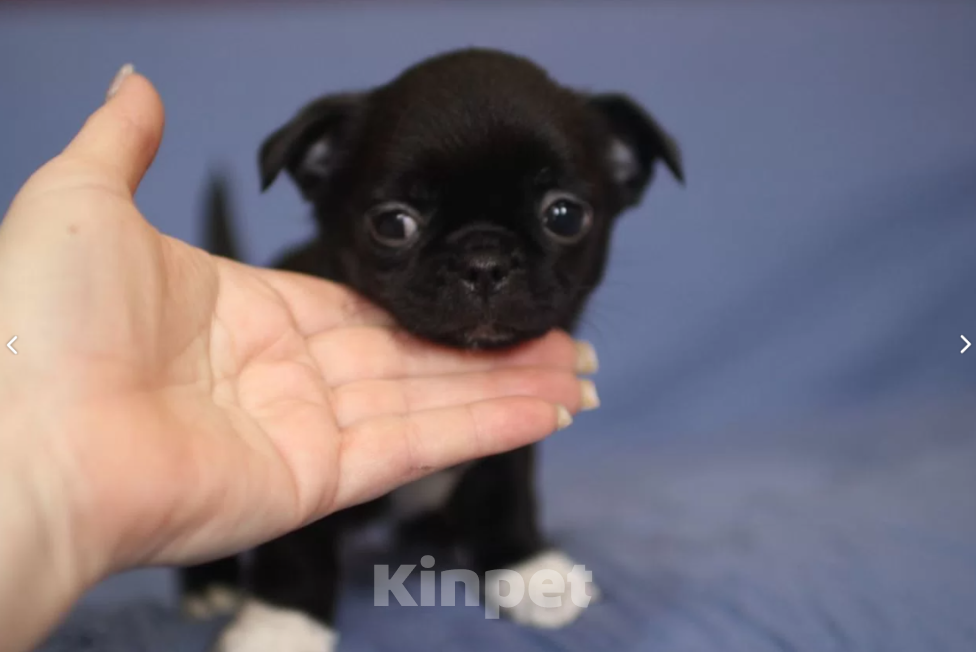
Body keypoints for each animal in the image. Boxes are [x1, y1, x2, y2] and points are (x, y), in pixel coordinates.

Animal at [181, 48, 680, 648]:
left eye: (565, 215)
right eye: (394, 224)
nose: (485, 262)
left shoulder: (515, 430)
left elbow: (504, 492)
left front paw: (527, 569)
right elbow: (299, 544)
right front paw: (283, 624)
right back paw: (210, 583)